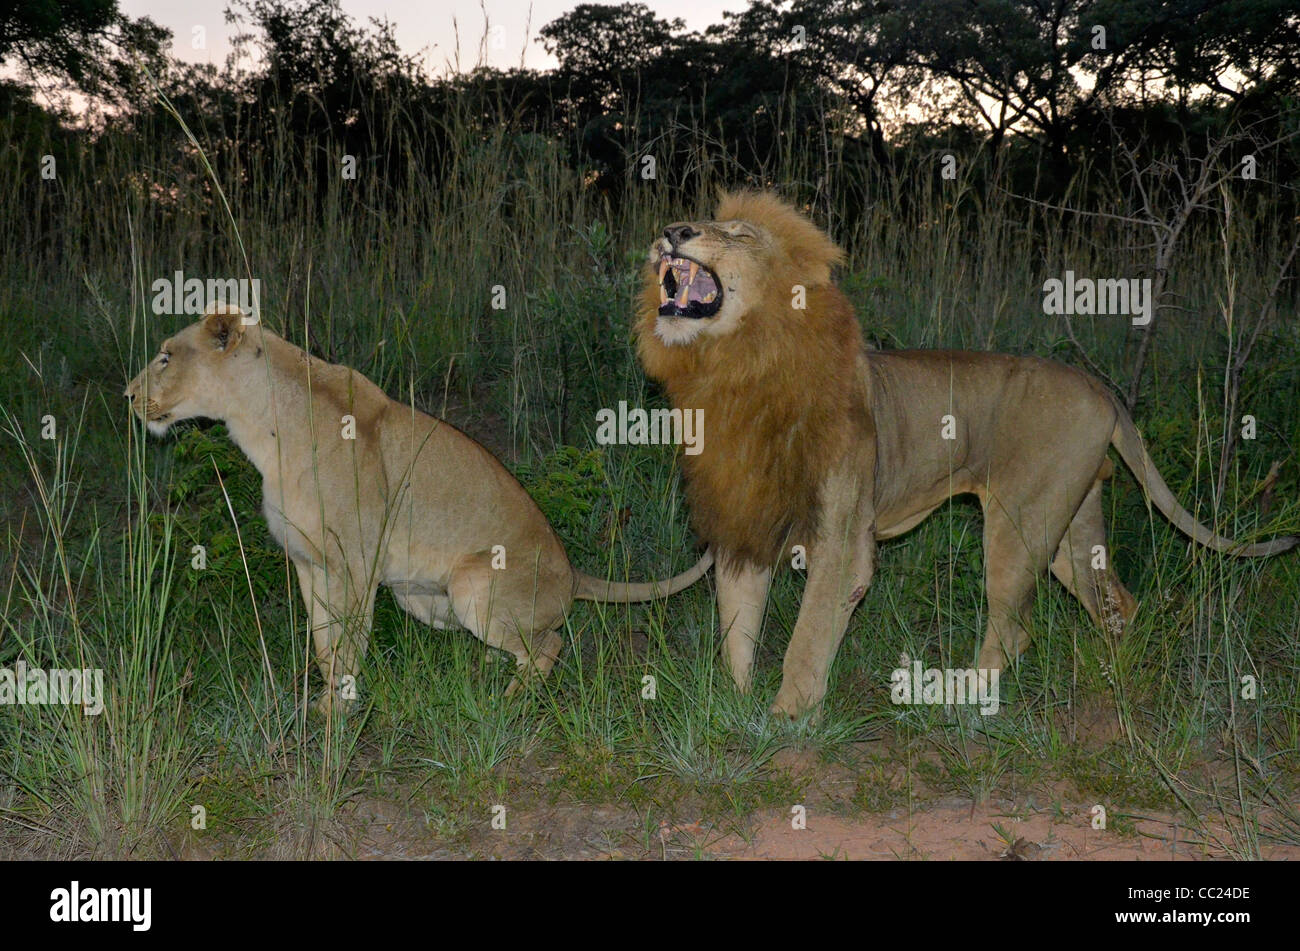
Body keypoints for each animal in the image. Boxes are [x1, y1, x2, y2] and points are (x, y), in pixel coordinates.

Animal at [126, 303, 712, 712]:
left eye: (165, 357)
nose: (128, 395)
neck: (259, 425)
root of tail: (573, 573)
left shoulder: (355, 563)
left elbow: (347, 643)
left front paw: (339, 713)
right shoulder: (309, 563)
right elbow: (323, 643)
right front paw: (322, 701)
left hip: (472, 584)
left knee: (550, 643)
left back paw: (512, 700)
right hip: (423, 601)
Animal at [637, 190, 1297, 717]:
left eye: (738, 234)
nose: (672, 231)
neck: (737, 365)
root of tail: (1099, 385)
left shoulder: (841, 535)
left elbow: (808, 633)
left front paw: (785, 721)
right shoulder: (743, 519)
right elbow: (737, 624)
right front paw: (733, 707)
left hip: (1017, 523)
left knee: (1014, 628)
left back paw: (962, 700)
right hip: (1072, 521)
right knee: (1115, 601)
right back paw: (1115, 676)